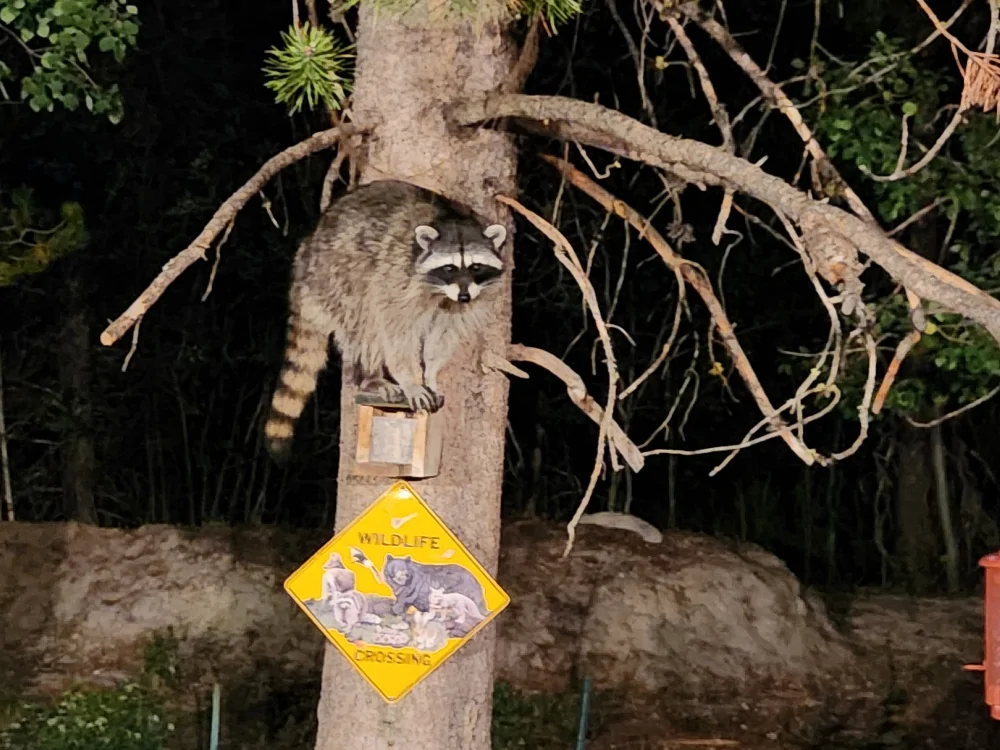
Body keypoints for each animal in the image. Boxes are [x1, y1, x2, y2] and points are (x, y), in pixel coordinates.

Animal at [263, 179, 508, 461]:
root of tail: (306, 250)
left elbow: (443, 336)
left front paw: (431, 373)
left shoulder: (459, 306)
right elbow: (396, 331)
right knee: (365, 323)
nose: (465, 296)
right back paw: (370, 375)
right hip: (337, 274)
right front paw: (411, 380)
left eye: (476, 267)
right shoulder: (397, 277)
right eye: (449, 268)